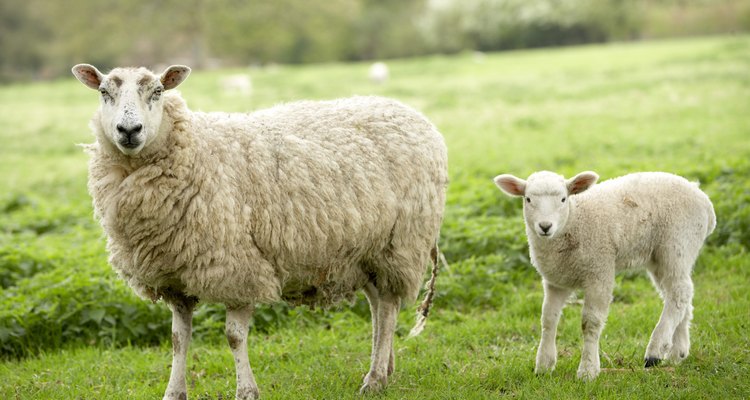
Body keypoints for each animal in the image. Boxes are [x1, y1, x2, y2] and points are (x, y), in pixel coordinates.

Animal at [72, 64, 446, 398]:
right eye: (104, 92)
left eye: (158, 91)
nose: (129, 130)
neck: (195, 148)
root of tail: (413, 114)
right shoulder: (174, 277)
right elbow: (179, 340)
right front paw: (173, 393)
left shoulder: (239, 269)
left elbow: (234, 336)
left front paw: (246, 391)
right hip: (364, 250)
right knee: (378, 305)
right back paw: (385, 367)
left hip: (399, 244)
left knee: (388, 306)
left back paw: (374, 378)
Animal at [496, 170, 720, 380]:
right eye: (528, 199)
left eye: (563, 199)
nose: (545, 226)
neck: (574, 220)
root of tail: (704, 201)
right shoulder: (556, 280)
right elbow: (548, 320)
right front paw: (544, 365)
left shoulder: (599, 270)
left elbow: (590, 322)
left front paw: (588, 370)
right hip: (660, 255)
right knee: (678, 295)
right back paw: (677, 352)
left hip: (677, 243)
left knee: (680, 292)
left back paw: (655, 351)